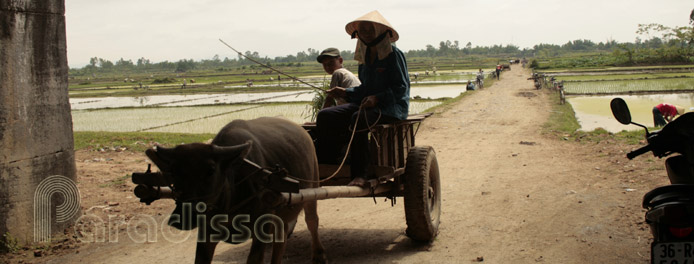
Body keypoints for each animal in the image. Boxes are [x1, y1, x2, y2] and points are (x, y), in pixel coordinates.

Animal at [147, 117, 326, 264]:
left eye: (211, 170)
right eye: (173, 171)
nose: (182, 218)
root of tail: (304, 132)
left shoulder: (262, 226)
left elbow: (254, 260)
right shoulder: (206, 230)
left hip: (312, 189)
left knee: (312, 221)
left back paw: (318, 254)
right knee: (281, 240)